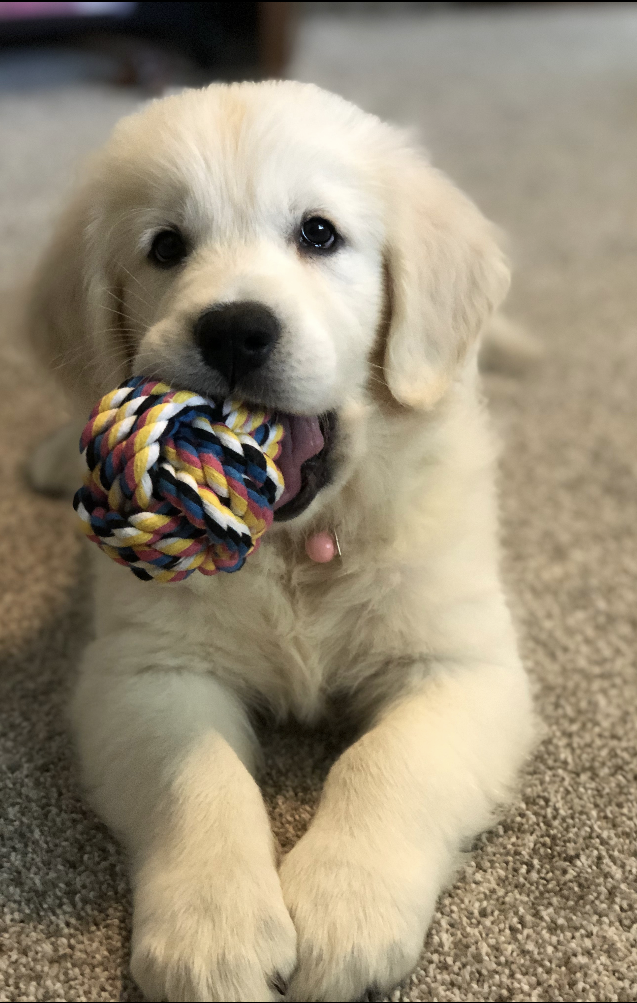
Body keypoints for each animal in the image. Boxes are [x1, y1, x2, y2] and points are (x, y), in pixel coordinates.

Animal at [29, 82, 537, 998]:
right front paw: (212, 934)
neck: (298, 545)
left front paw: (344, 910)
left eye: (319, 233)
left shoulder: (459, 665)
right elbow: (195, 777)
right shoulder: (146, 668)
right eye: (166, 246)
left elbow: (387, 764)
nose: (235, 329)